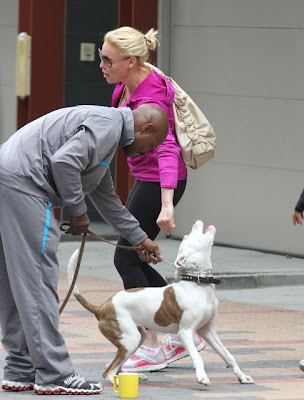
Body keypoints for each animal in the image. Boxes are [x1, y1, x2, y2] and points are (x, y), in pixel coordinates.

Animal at [67, 220, 254, 386]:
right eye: (188, 238)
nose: (195, 221)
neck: (198, 284)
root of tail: (101, 307)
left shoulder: (207, 330)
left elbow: (228, 356)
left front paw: (242, 377)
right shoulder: (185, 332)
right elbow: (197, 357)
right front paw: (202, 377)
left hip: (136, 338)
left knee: (117, 367)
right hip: (130, 339)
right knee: (109, 372)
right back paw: (119, 382)